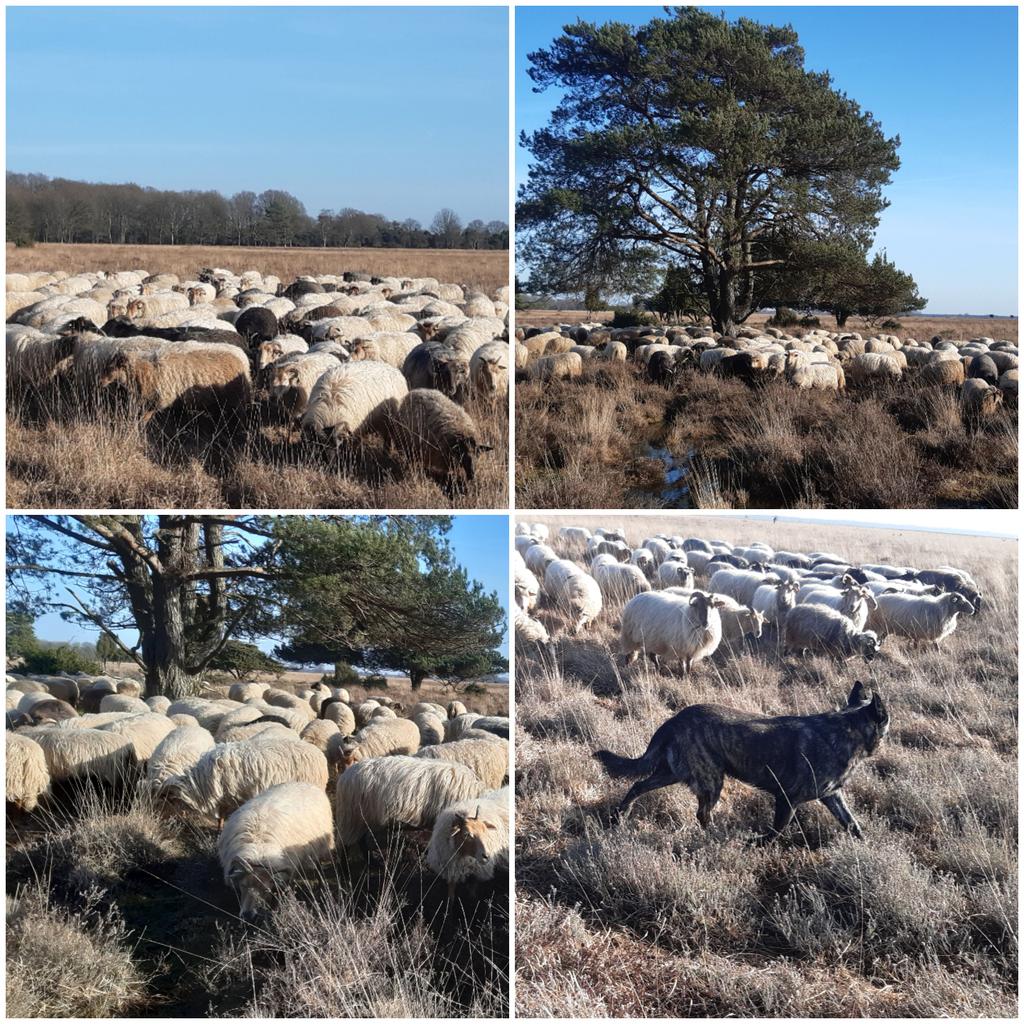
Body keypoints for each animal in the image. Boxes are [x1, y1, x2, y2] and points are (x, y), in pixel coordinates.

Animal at [218, 778, 333, 925]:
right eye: (243, 885)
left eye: (265, 889)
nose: (248, 915)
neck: (258, 849)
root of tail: (304, 782)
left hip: (319, 846)